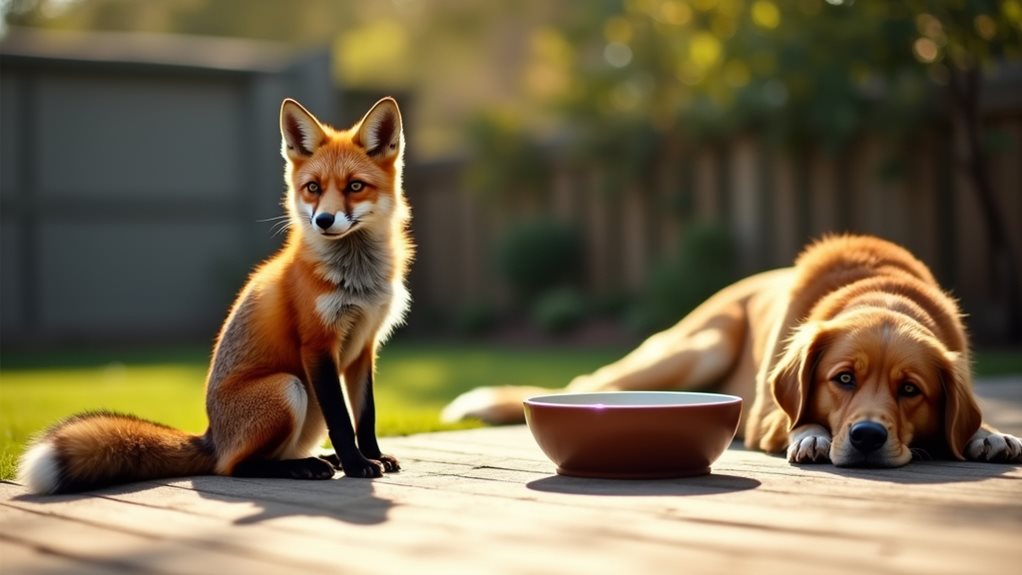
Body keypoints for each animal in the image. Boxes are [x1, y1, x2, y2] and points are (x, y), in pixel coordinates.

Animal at [18, 97, 413, 494]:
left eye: (355, 186)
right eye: (313, 188)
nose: (324, 221)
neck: (357, 280)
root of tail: (211, 437)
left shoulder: (364, 345)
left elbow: (365, 415)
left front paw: (373, 456)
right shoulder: (317, 343)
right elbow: (343, 421)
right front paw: (357, 464)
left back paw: (321, 460)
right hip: (289, 388)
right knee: (235, 467)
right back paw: (306, 466)